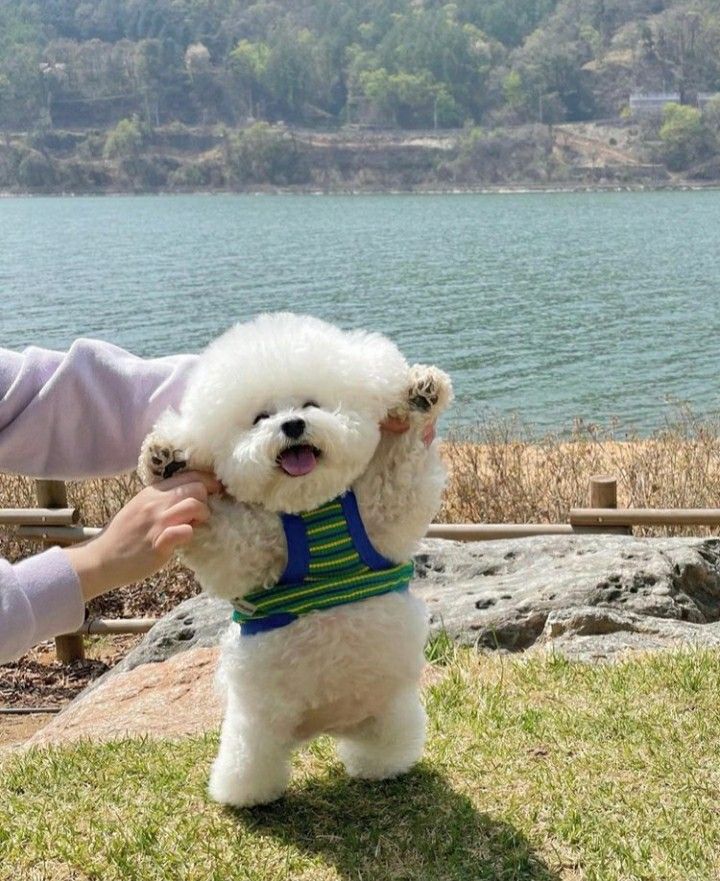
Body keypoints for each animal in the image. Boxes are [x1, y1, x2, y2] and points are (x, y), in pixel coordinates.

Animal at [137, 312, 450, 808]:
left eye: (310, 403)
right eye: (261, 418)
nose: (293, 425)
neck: (312, 507)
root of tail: (325, 727)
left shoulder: (384, 510)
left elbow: (403, 466)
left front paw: (421, 395)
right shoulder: (245, 549)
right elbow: (219, 538)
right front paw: (165, 461)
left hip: (393, 712)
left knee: (384, 743)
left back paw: (382, 767)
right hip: (252, 732)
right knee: (252, 762)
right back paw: (246, 795)